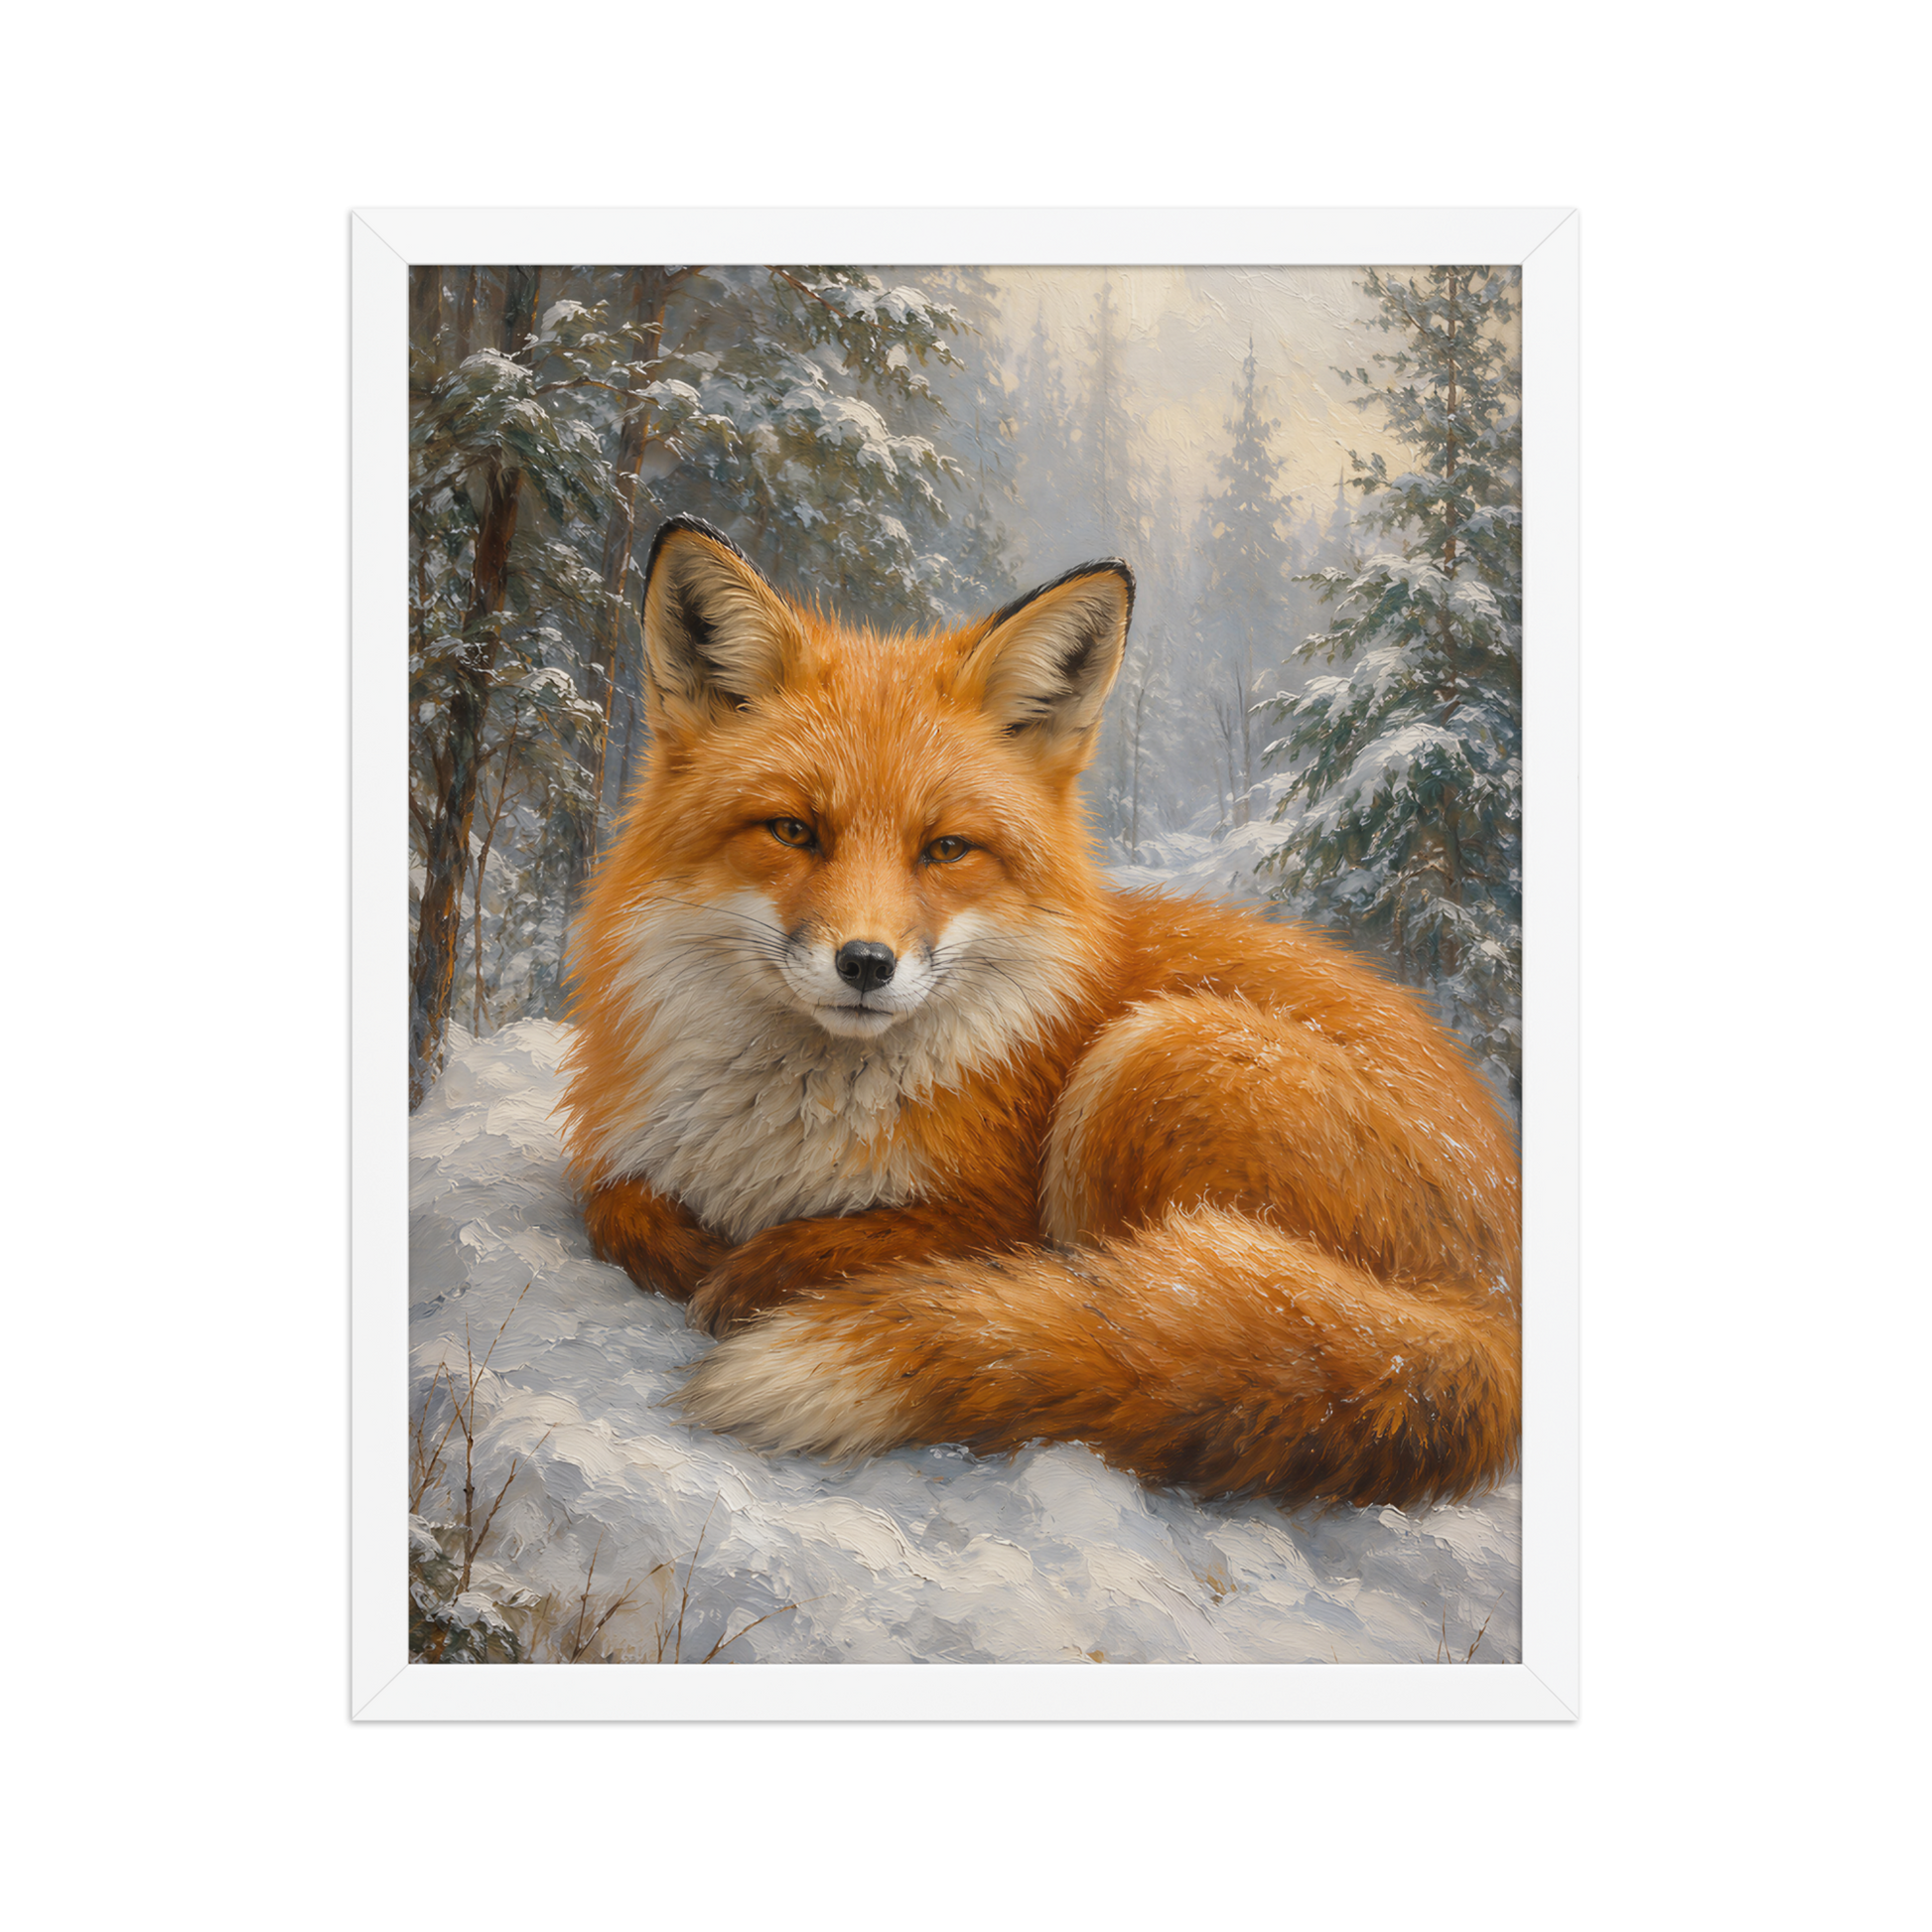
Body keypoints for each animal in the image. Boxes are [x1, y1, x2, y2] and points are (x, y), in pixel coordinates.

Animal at [559, 515, 1521, 1512]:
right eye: (793, 831)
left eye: (946, 849)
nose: (866, 964)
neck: (783, 1130)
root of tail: (1499, 1308)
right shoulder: (629, 1153)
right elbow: (613, 1204)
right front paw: (687, 1249)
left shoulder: (994, 1210)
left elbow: (875, 1241)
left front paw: (760, 1271)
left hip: (1152, 1057)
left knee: (1134, 1310)